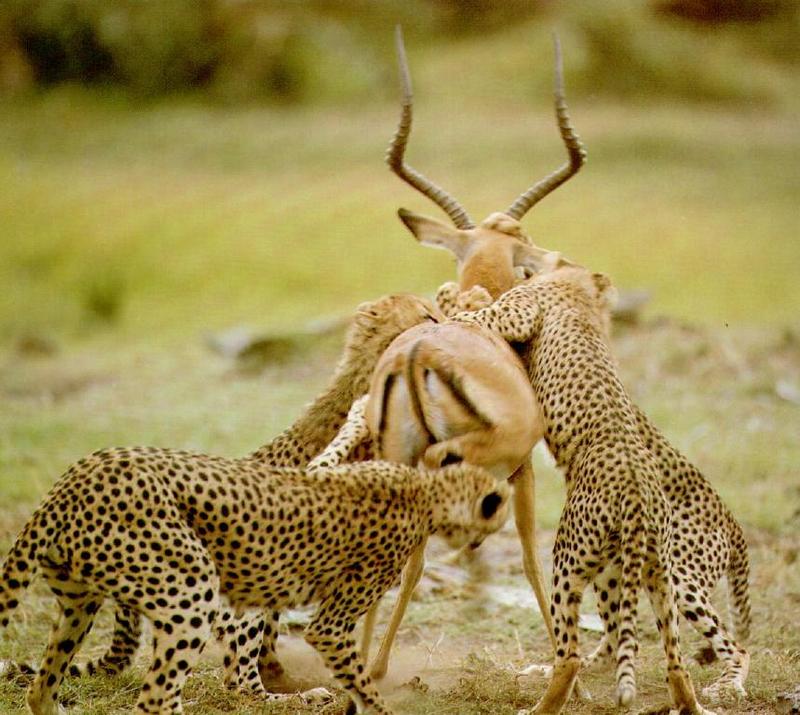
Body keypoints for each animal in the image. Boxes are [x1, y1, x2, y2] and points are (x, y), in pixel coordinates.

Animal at [0, 450, 510, 712]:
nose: (481, 543)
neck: (427, 491)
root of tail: (73, 479)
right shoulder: (330, 624)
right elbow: (362, 682)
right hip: (192, 593)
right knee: (170, 697)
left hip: (80, 604)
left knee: (41, 687)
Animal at [454, 264, 716, 715]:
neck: (579, 284)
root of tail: (637, 496)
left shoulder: (519, 313)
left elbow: (480, 316)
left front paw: (457, 305)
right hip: (653, 573)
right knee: (674, 656)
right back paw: (690, 703)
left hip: (569, 560)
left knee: (570, 655)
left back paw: (540, 706)